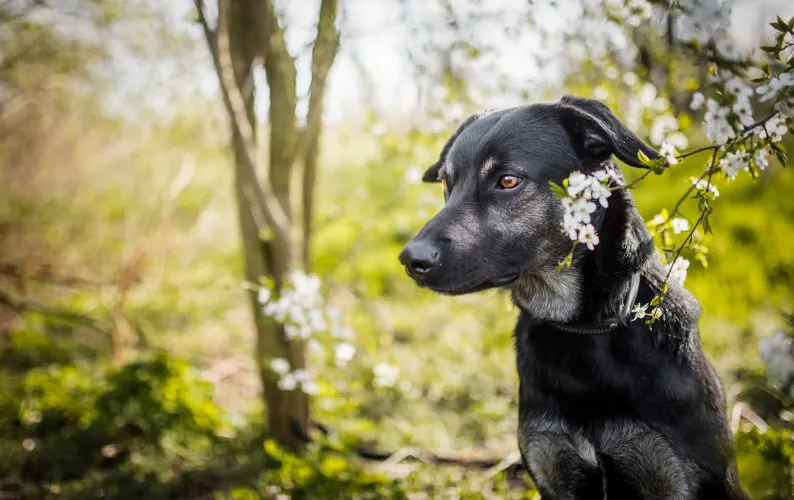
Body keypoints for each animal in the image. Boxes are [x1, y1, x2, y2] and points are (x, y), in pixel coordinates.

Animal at [400, 95, 744, 498]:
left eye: (508, 181)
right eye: (446, 183)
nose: (411, 259)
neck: (583, 327)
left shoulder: (675, 475)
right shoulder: (554, 466)